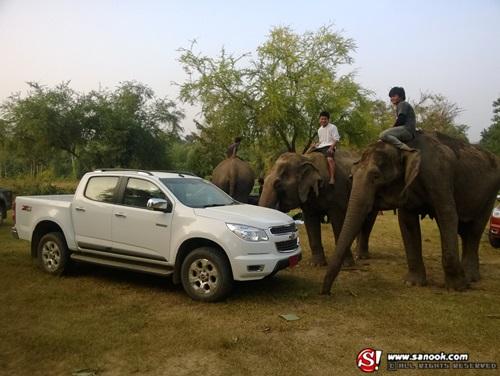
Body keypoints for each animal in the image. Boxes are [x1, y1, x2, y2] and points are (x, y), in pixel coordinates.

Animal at [320, 131, 500, 294]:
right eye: (351, 176)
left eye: (376, 176)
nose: (326, 292)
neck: (405, 148)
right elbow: (407, 222)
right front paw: (413, 283)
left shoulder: (439, 175)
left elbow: (447, 216)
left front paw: (458, 287)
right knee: (465, 230)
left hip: (491, 194)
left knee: (475, 230)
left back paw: (470, 278)